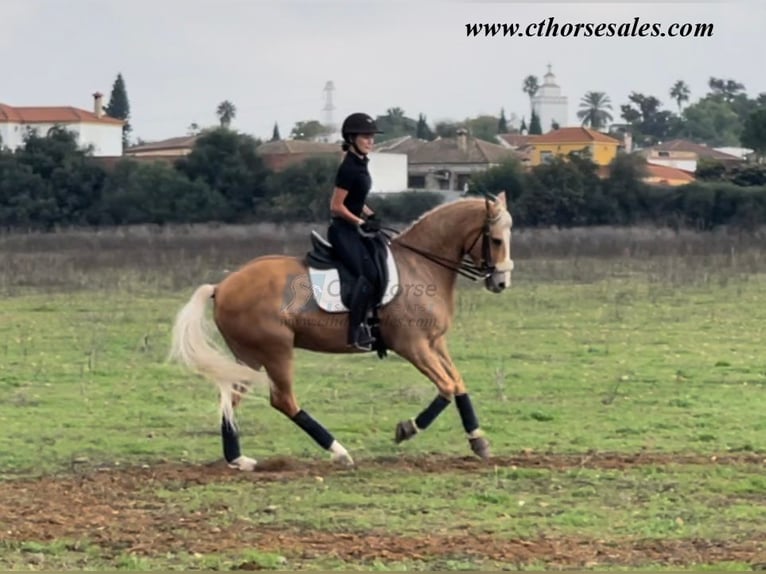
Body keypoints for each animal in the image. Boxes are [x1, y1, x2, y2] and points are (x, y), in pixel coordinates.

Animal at [169, 191, 516, 470]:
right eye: (497, 240)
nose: (501, 283)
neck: (421, 265)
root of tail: (222, 286)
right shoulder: (412, 345)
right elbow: (445, 387)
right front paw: (406, 429)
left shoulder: (435, 342)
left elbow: (458, 384)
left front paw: (478, 440)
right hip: (276, 351)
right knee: (283, 401)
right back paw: (339, 452)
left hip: (249, 357)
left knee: (230, 398)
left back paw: (238, 459)